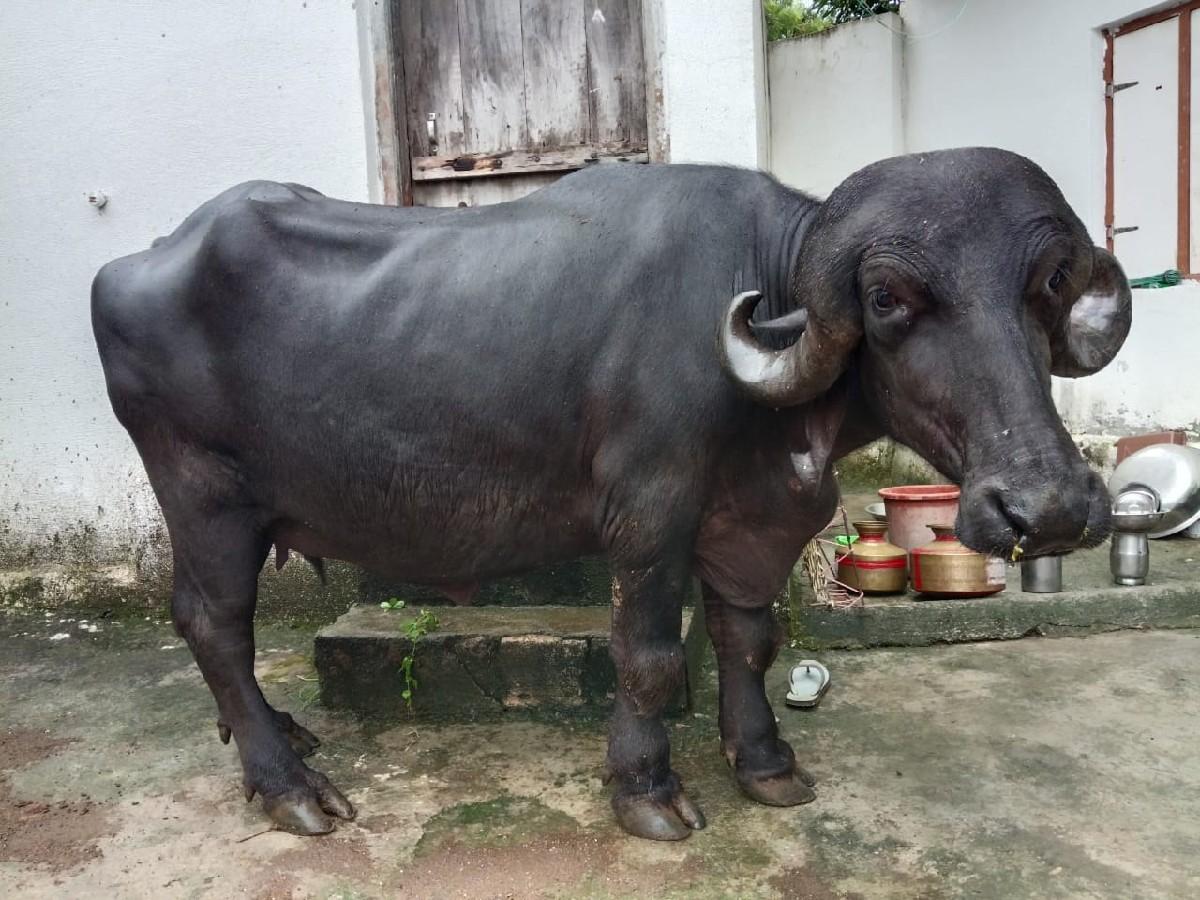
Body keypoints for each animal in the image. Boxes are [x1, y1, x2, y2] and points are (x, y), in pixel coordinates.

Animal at [92, 148, 1130, 841]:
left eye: (1046, 284)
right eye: (887, 300)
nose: (1047, 505)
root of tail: (135, 262)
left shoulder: (750, 521)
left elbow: (749, 640)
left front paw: (765, 763)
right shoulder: (650, 512)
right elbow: (651, 657)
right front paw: (647, 790)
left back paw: (275, 736)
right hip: (205, 496)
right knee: (214, 624)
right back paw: (289, 785)